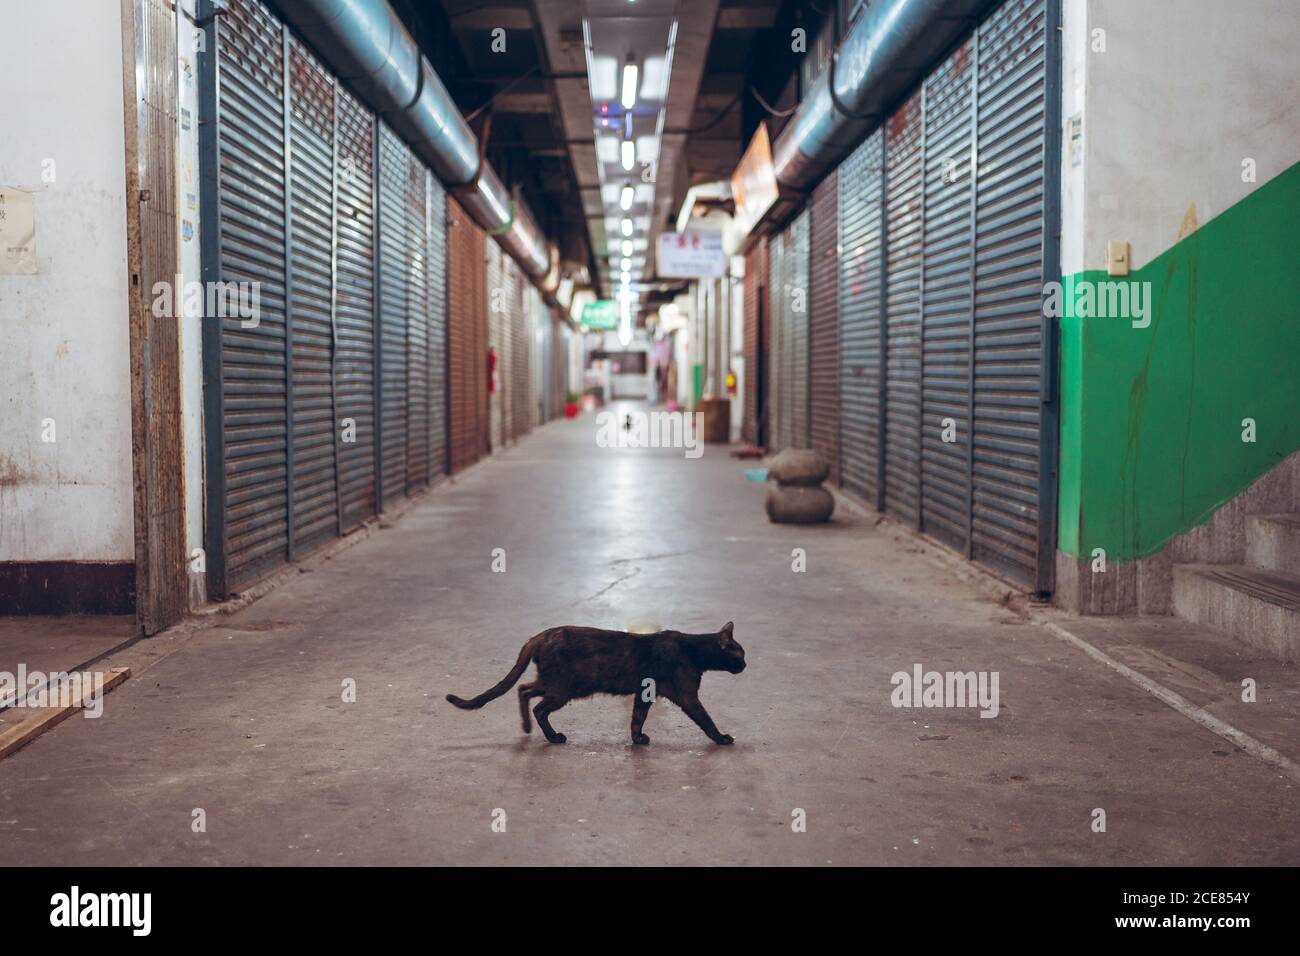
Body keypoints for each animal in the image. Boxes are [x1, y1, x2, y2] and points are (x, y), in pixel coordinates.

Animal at [447, 621, 748, 749]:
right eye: (740, 654)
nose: (746, 665)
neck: (693, 649)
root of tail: (541, 635)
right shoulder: (687, 696)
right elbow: (706, 720)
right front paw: (722, 738)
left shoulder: (644, 694)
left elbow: (637, 718)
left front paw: (637, 739)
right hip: (563, 689)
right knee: (538, 707)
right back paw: (552, 737)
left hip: (558, 685)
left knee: (524, 690)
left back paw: (527, 728)